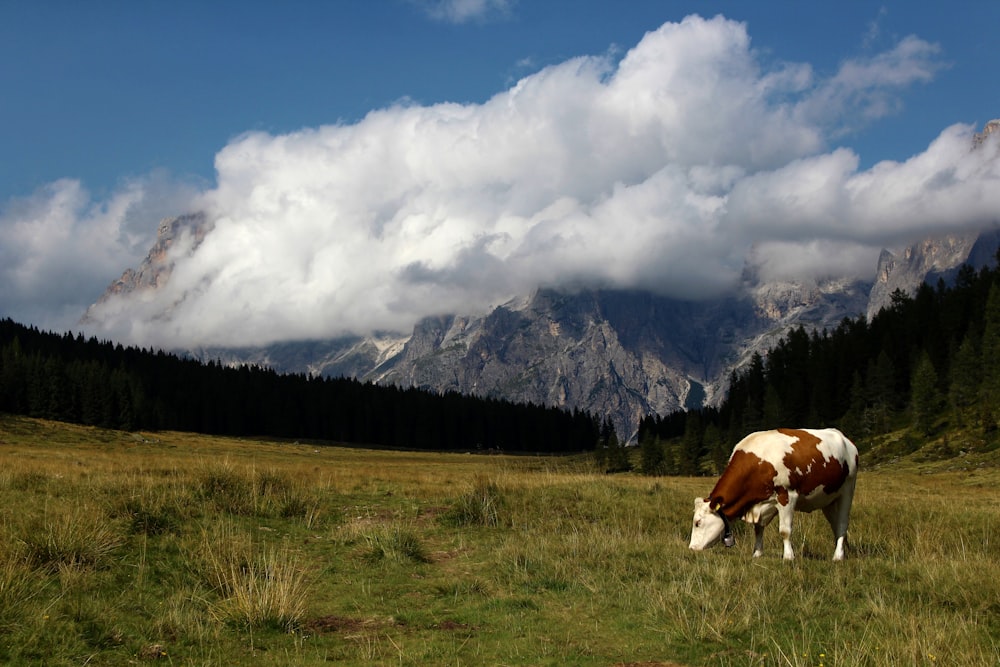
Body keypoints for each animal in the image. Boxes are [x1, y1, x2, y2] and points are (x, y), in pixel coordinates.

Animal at [688, 428, 860, 560]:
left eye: (698, 523)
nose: (692, 548)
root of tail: (845, 439)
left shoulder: (787, 496)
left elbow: (785, 531)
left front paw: (788, 557)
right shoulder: (760, 504)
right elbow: (758, 529)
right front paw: (757, 554)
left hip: (848, 490)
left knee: (842, 523)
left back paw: (838, 556)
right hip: (828, 498)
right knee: (835, 524)